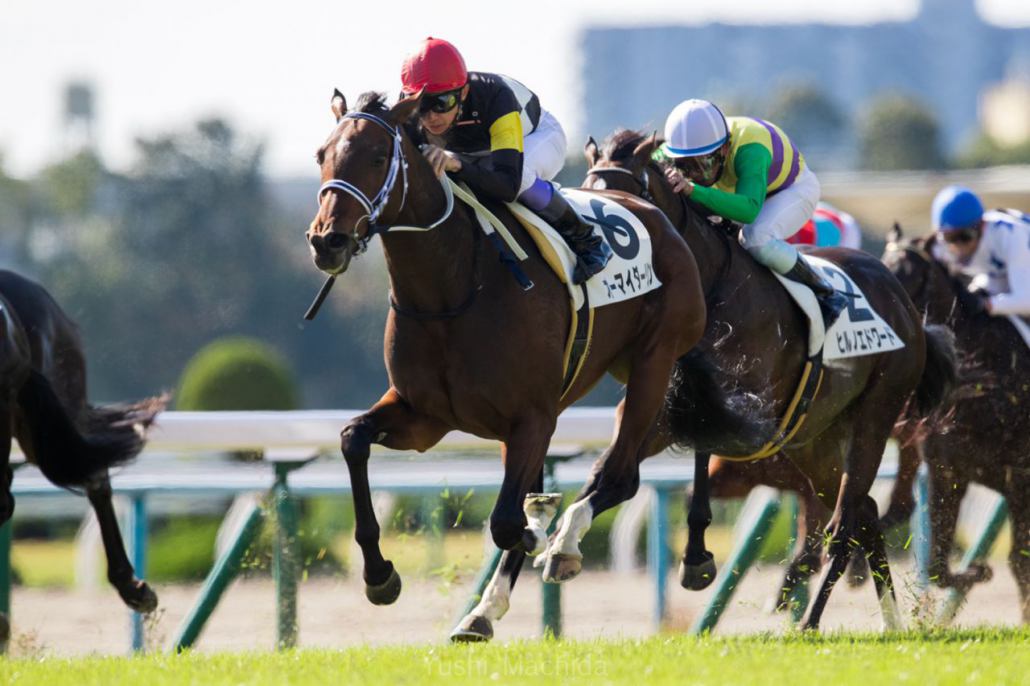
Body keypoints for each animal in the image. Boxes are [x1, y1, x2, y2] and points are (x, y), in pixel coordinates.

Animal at [302, 93, 708, 634]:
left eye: (377, 156)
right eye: (321, 154)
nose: (327, 241)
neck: (452, 286)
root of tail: (655, 212)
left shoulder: (533, 417)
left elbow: (506, 521)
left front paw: (540, 531)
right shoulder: (424, 417)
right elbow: (353, 439)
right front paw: (379, 575)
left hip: (653, 364)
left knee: (620, 474)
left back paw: (563, 545)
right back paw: (482, 612)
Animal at [585, 130, 959, 626]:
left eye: (624, 199)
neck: (710, 282)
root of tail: (908, 309)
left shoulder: (744, 408)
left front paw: (698, 559)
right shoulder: (670, 405)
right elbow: (625, 465)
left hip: (876, 415)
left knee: (845, 522)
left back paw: (811, 620)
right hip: (812, 439)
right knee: (864, 510)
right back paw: (891, 619)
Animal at [881, 225, 1025, 618]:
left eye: (911, 274)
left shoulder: (1021, 479)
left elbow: (1021, 559)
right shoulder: (948, 470)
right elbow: (937, 566)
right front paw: (977, 571)